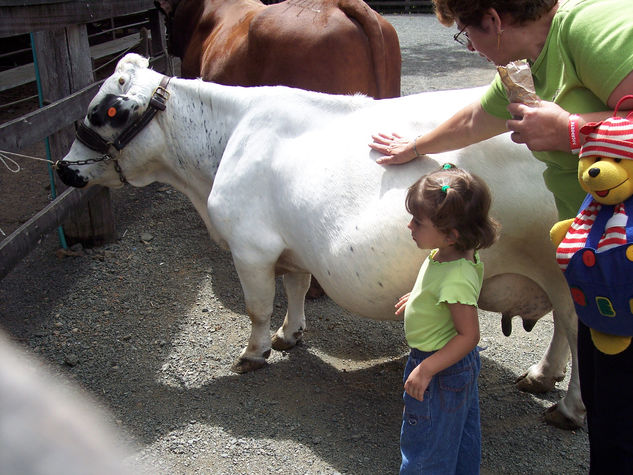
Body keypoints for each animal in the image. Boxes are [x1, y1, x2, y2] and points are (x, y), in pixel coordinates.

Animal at [59, 54, 584, 430]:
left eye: (101, 113)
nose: (64, 169)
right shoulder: (290, 247)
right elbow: (294, 287)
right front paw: (289, 335)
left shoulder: (250, 247)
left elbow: (256, 307)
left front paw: (253, 354)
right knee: (563, 326)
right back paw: (542, 375)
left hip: (561, 267)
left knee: (578, 329)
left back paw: (568, 408)